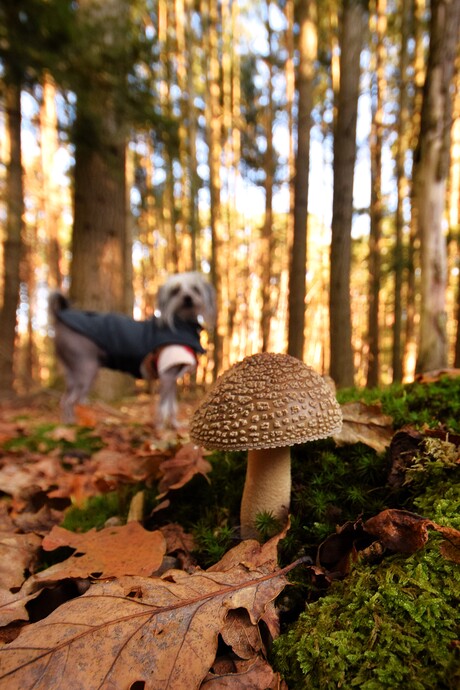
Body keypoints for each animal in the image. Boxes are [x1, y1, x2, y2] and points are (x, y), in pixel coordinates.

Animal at [48, 272, 216, 428]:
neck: (181, 324)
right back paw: (73, 426)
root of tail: (60, 317)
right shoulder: (166, 376)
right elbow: (163, 407)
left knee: (64, 400)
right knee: (70, 402)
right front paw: (161, 428)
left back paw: (67, 425)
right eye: (175, 291)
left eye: (195, 289)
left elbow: (172, 406)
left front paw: (175, 425)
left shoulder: (172, 378)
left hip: (72, 372)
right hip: (87, 370)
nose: (187, 298)